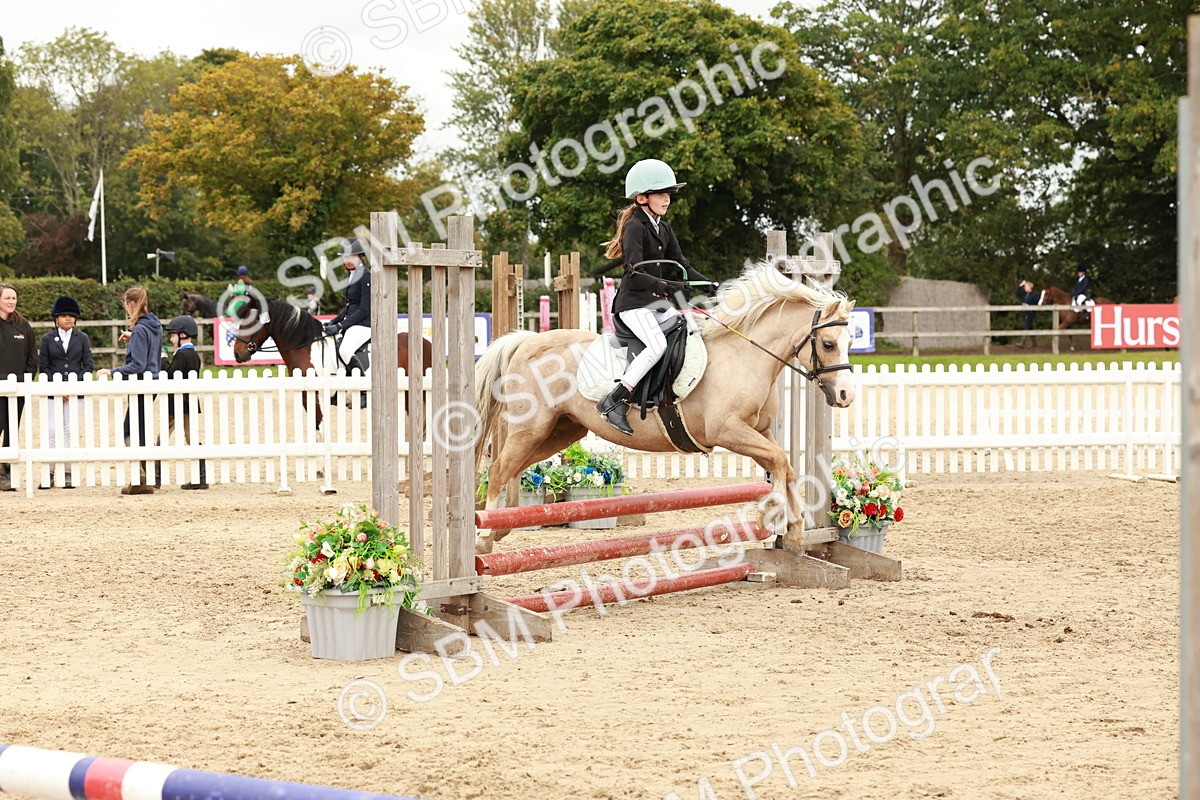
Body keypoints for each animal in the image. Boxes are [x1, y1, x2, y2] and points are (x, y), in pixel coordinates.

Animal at [228, 295, 434, 430]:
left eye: (250, 321)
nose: (237, 353)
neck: (305, 348)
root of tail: (426, 342)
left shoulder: (316, 397)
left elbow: (321, 429)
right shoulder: (306, 398)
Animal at [473, 259, 857, 554]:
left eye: (849, 342)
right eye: (827, 343)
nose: (845, 396)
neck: (746, 355)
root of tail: (527, 341)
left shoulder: (758, 431)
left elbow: (786, 466)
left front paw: (793, 532)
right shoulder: (728, 431)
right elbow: (779, 462)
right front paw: (773, 516)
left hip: (560, 431)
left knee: (512, 468)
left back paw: (502, 527)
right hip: (532, 427)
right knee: (499, 469)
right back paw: (483, 537)